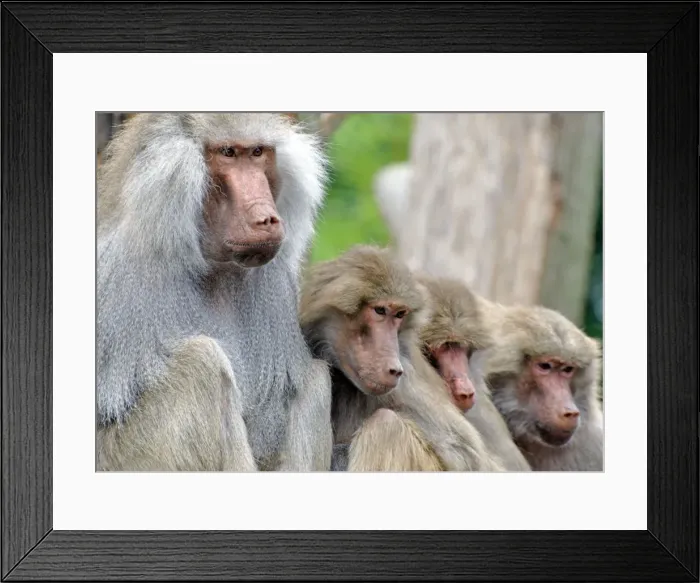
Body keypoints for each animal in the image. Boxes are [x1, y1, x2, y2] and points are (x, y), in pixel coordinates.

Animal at [96, 113, 333, 472]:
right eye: (228, 153)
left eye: (258, 152)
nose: (266, 219)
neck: (209, 264)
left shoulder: (273, 280)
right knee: (202, 364)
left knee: (317, 380)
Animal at [299, 245, 504, 472]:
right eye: (380, 310)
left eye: (400, 314)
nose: (394, 369)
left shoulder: (405, 382)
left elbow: (471, 457)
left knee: (386, 426)